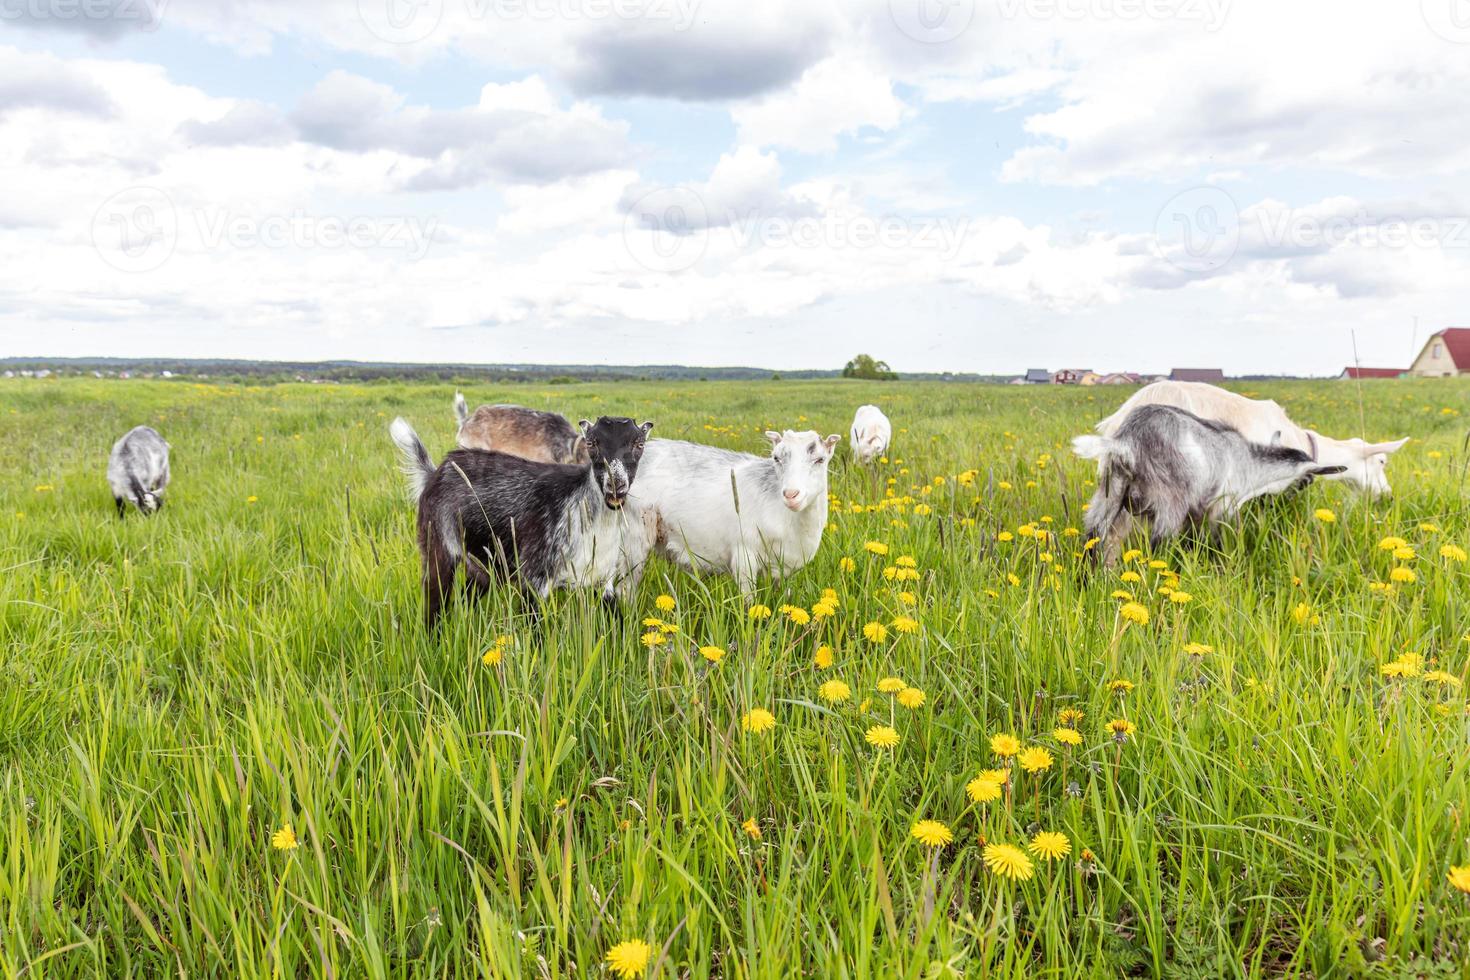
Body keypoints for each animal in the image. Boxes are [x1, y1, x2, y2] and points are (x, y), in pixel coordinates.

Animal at [391, 414, 655, 628]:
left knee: (467, 598)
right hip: (439, 548)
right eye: (592, 443)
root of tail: (435, 473)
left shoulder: (601, 581)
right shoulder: (534, 581)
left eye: (639, 444)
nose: (616, 485)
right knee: (433, 607)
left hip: (482, 565)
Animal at [629, 431, 840, 599]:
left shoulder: (784, 568)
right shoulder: (744, 556)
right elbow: (748, 602)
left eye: (820, 460)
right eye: (776, 458)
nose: (791, 494)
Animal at [1070, 402, 1346, 564]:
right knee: (1159, 546)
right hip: (1170, 500)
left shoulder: (1197, 514)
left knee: (1094, 537)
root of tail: (1127, 441)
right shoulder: (1222, 507)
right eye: (1307, 479)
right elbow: (1219, 543)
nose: (1293, 497)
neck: (1250, 463)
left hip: (1111, 489)